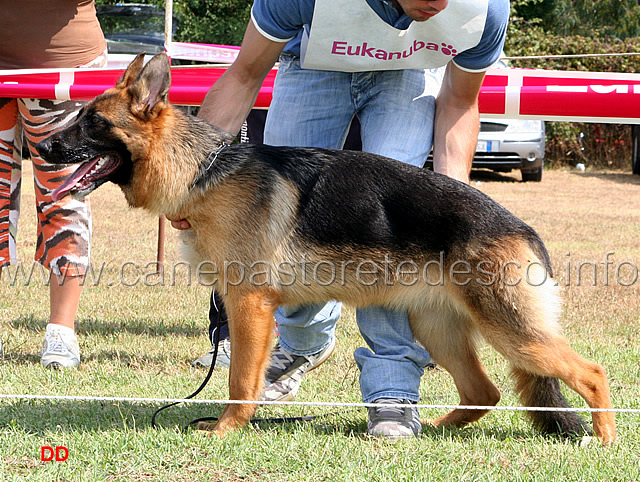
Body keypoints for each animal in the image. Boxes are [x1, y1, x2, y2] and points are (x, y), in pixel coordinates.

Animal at [36, 53, 616, 444]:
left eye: (92, 122)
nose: (41, 145)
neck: (202, 171)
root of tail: (523, 228)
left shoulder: (249, 307)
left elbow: (239, 377)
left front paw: (226, 427)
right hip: (439, 329)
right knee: (485, 394)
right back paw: (435, 427)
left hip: (512, 333)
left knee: (591, 373)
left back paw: (604, 440)